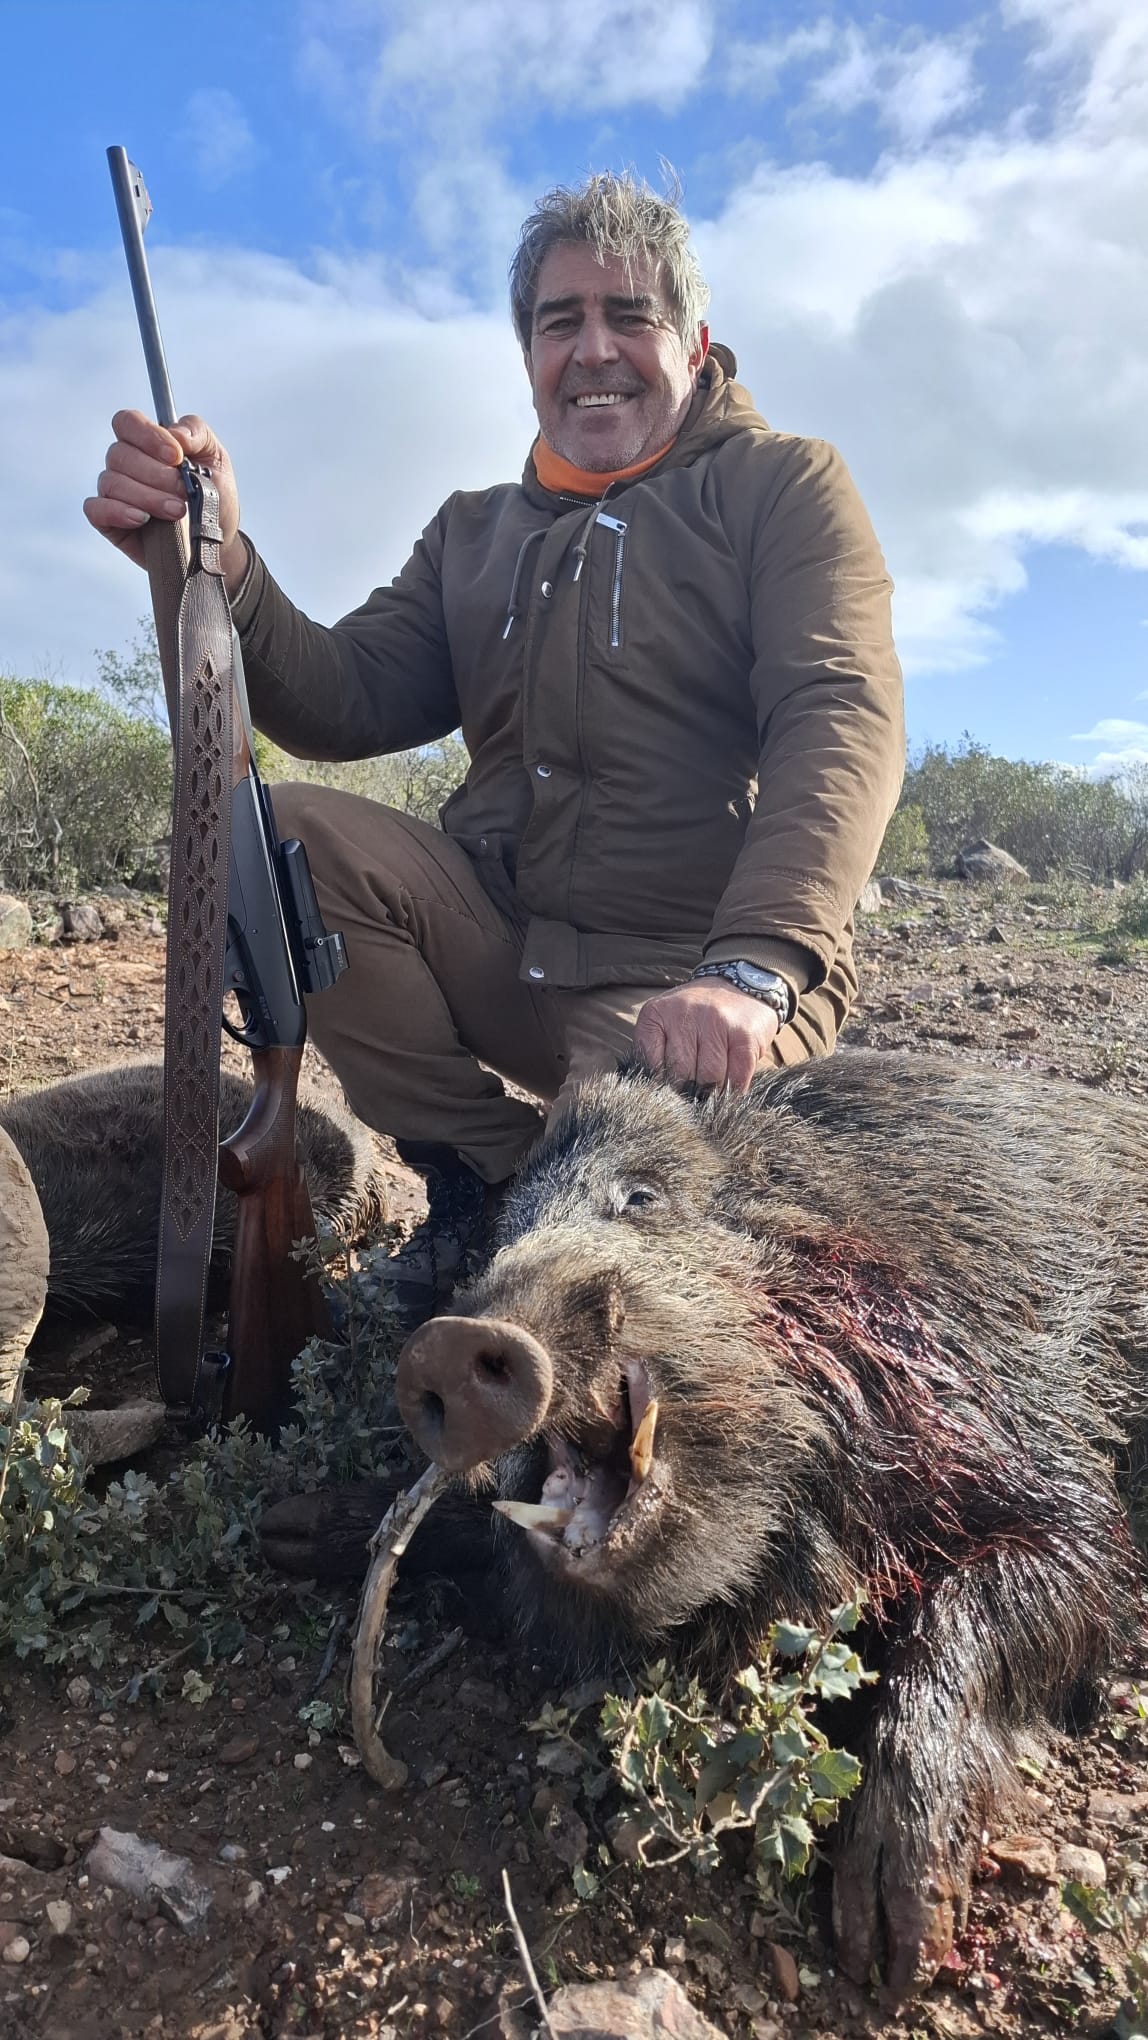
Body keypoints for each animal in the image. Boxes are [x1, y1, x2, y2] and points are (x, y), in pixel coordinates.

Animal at [389, 1051, 1147, 1999]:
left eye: (639, 1197)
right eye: (500, 1240)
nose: (447, 1341)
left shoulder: (1007, 1428)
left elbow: (1060, 1561)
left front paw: (889, 1942)